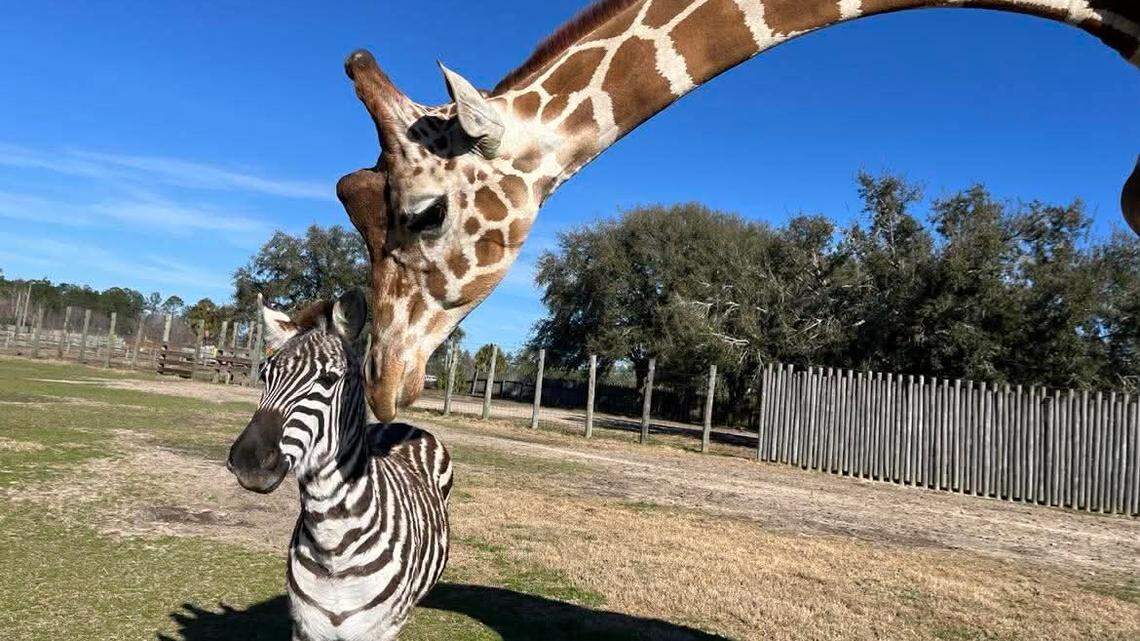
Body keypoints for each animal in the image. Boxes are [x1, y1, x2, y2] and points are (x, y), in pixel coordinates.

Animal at [227, 289, 453, 641]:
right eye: (264, 375)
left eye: (328, 379)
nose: (247, 462)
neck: (332, 542)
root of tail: (402, 425)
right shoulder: (305, 627)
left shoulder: (379, 630)